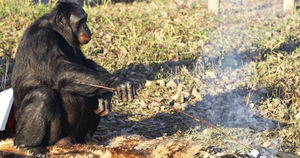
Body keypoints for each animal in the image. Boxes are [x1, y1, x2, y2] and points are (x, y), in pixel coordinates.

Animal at [10, 0, 137, 156]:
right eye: (81, 21)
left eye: (85, 20)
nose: (87, 27)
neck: (57, 31)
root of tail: (69, 141)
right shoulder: (41, 39)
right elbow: (59, 70)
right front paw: (116, 83)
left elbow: (84, 61)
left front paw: (106, 93)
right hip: (52, 138)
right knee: (42, 95)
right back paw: (28, 145)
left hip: (76, 135)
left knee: (90, 92)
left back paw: (89, 138)